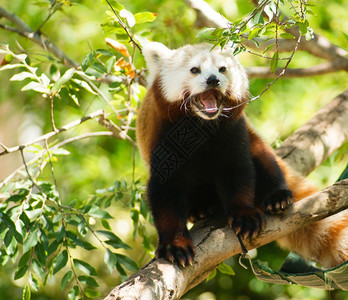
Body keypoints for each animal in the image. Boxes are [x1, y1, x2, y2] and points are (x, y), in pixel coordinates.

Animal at [136, 41, 348, 268]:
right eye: (194, 70)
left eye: (222, 69)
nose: (213, 80)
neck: (202, 126)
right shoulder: (164, 139)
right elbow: (165, 192)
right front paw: (175, 245)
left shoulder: (233, 132)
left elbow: (238, 172)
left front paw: (244, 215)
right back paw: (201, 208)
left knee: (265, 159)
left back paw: (277, 196)